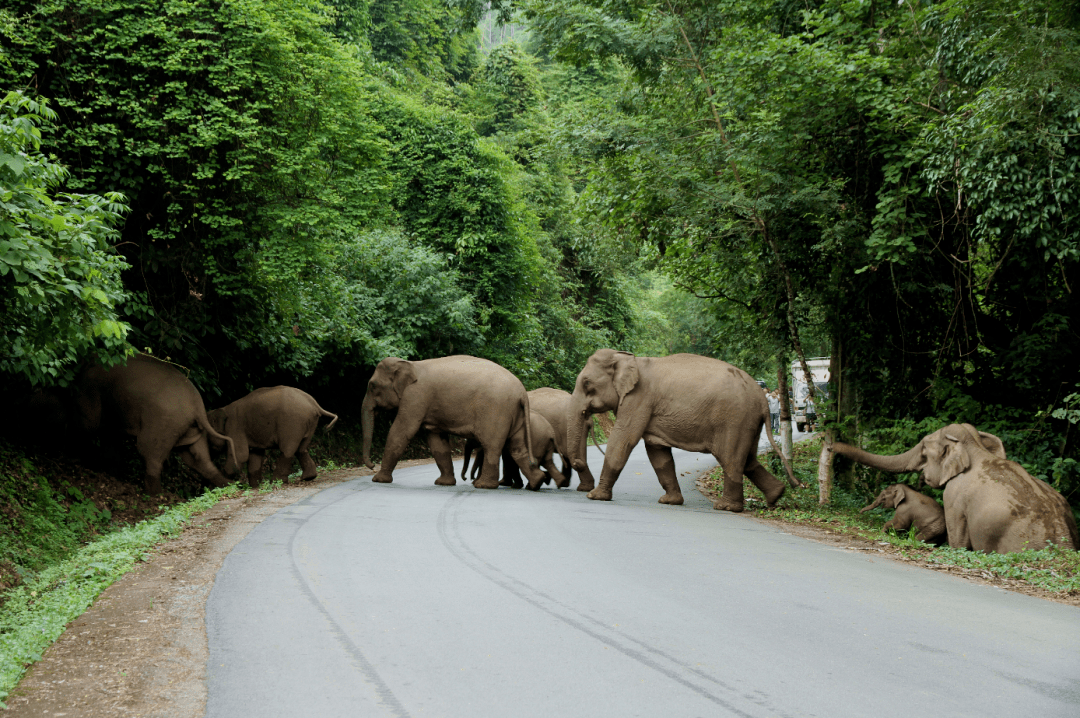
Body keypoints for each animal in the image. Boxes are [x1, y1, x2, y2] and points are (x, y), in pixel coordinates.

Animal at [204, 386, 334, 488]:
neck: (223, 408)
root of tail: (314, 404)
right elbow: (255, 455)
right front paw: (255, 486)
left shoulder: (234, 428)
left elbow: (241, 456)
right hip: (309, 423)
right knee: (301, 448)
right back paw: (308, 477)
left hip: (292, 423)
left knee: (288, 449)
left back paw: (276, 482)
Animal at [362, 356, 548, 490]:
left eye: (372, 385)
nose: (371, 465)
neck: (410, 364)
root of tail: (522, 393)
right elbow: (437, 441)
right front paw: (443, 483)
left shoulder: (415, 397)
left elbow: (402, 431)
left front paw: (378, 480)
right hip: (515, 414)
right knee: (517, 448)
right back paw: (536, 483)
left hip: (496, 411)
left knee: (492, 446)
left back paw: (484, 486)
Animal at [565, 347, 803, 509]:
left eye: (586, 383)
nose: (577, 463)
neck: (629, 358)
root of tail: (762, 399)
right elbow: (657, 452)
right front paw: (670, 501)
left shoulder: (639, 399)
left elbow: (624, 440)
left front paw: (594, 496)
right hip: (748, 422)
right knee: (748, 460)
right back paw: (776, 495)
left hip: (735, 419)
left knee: (731, 459)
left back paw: (726, 507)